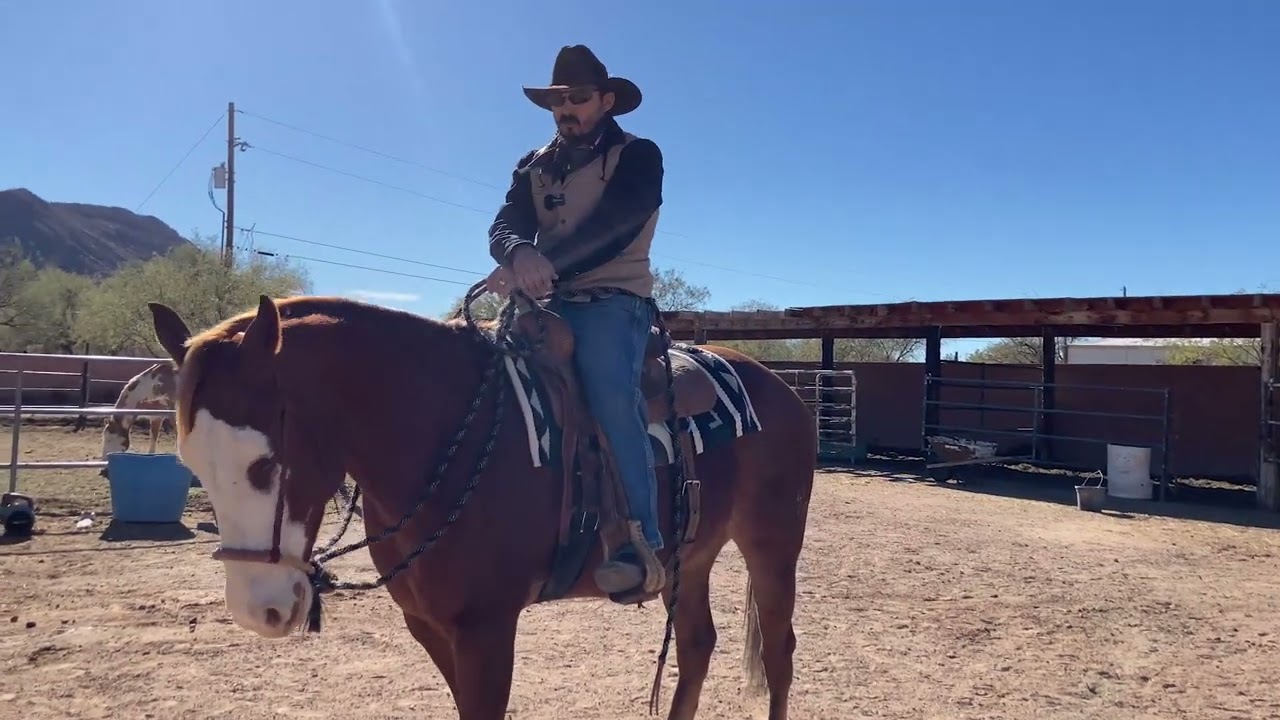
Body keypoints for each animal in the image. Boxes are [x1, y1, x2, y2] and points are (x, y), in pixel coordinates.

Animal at [145, 293, 816, 720]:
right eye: (193, 466)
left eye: (264, 464)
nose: (259, 611)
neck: (440, 432)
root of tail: (781, 387)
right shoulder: (429, 626)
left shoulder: (487, 629)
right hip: (693, 556)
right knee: (697, 645)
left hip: (773, 545)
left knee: (779, 653)